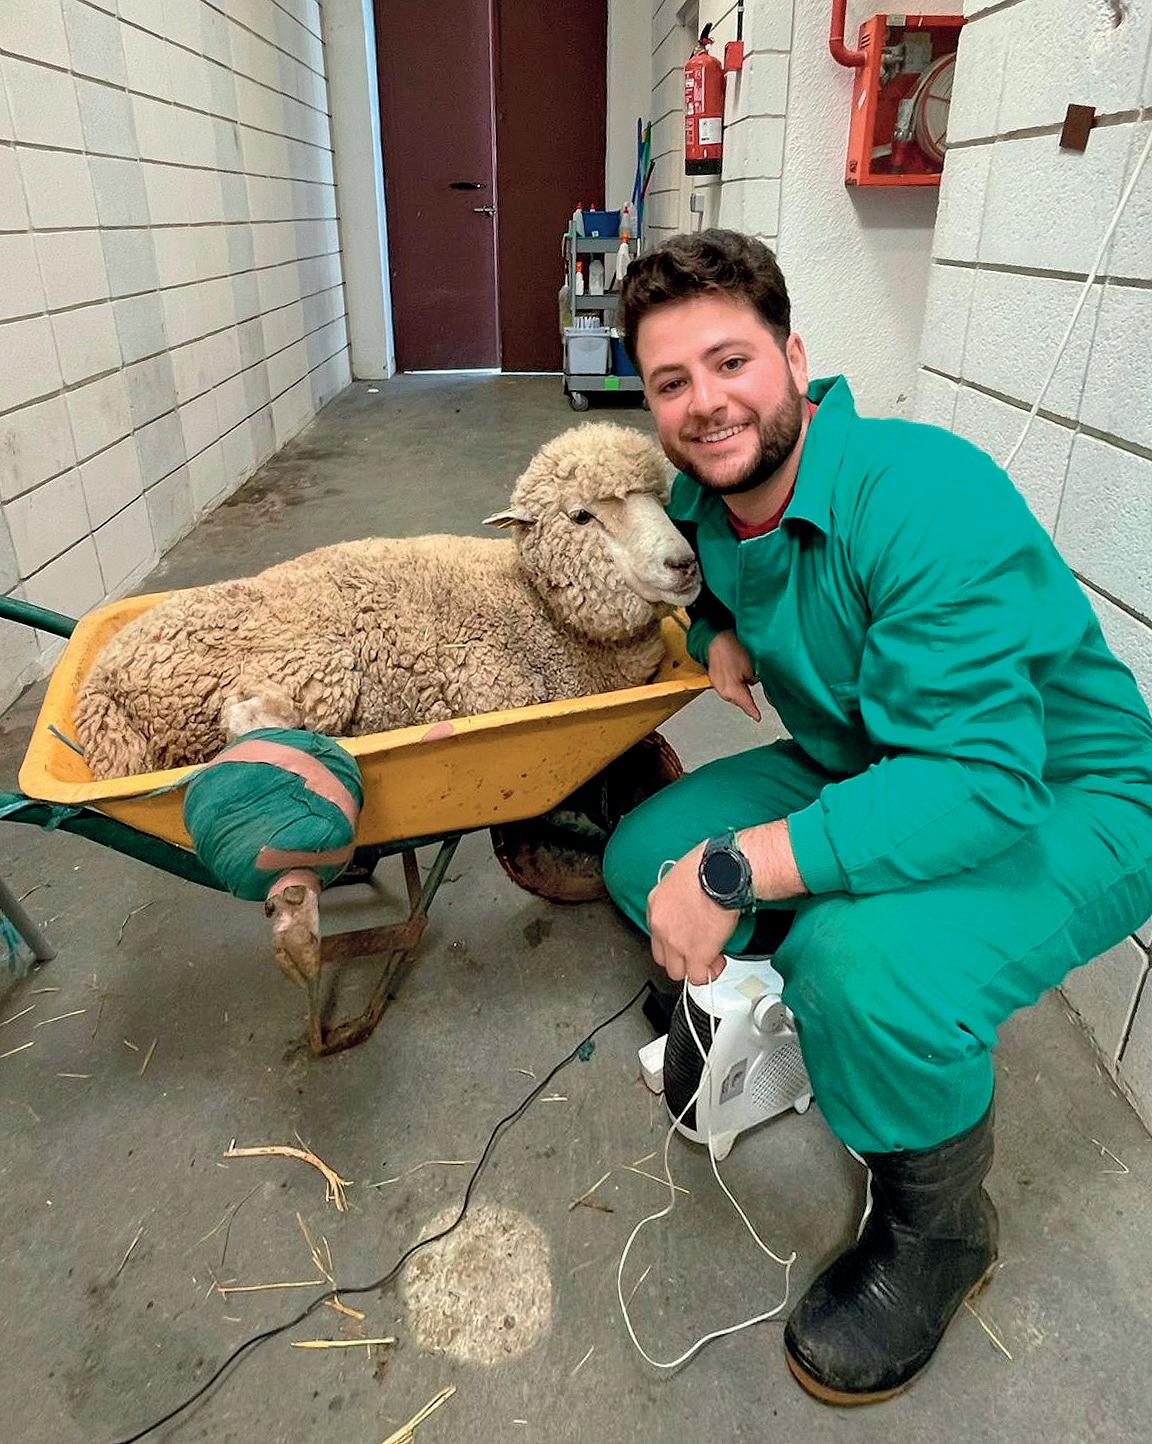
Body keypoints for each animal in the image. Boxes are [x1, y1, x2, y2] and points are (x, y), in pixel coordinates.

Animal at [75, 422, 701, 780]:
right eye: (581, 516)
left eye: (662, 498)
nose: (684, 563)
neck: (541, 611)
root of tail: (101, 686)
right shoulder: (493, 691)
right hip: (313, 667)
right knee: (247, 732)